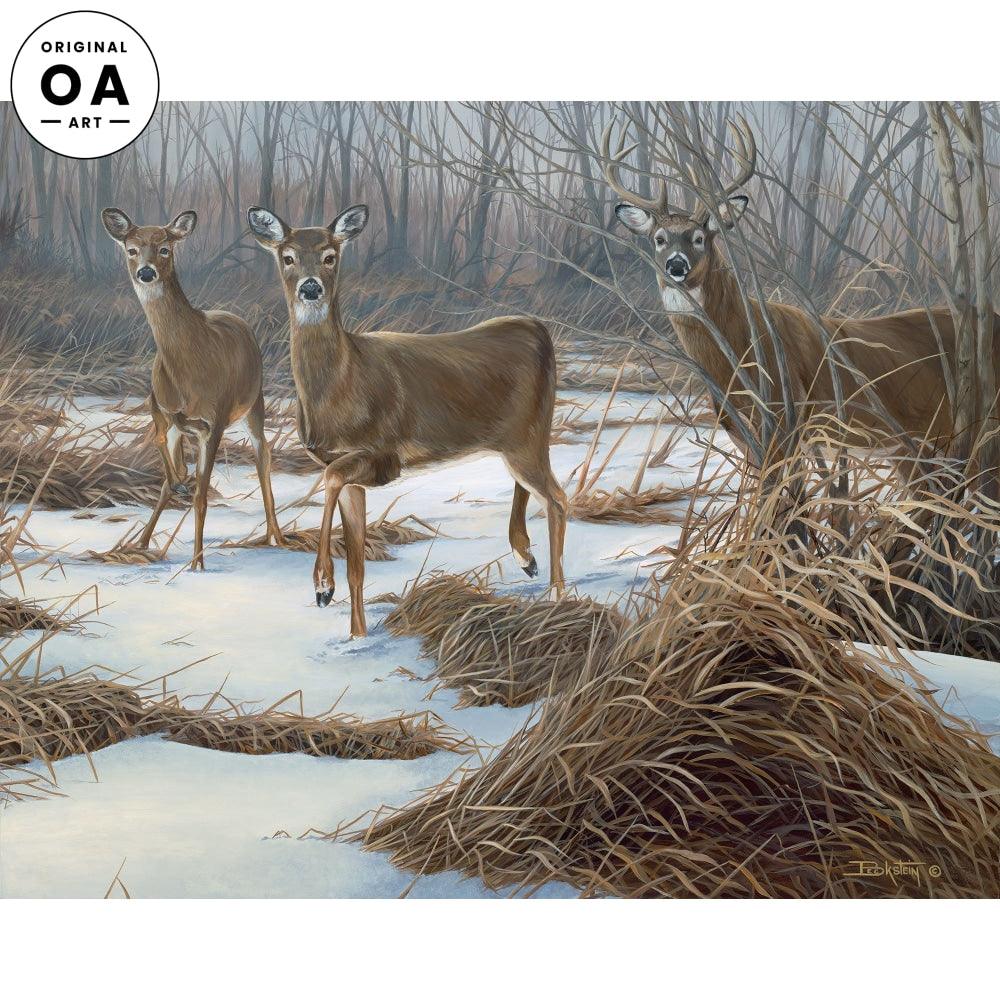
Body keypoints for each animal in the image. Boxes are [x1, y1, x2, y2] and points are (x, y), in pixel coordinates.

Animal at [101, 208, 284, 569]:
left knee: (263, 456)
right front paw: (142, 542)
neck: (187, 371)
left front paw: (198, 563)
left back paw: (277, 536)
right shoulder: (160, 411)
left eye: (165, 249)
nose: (146, 272)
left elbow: (202, 494)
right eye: (131, 249)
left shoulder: (214, 421)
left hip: (254, 402)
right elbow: (165, 472)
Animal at [246, 203, 566, 638]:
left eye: (330, 256)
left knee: (558, 499)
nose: (310, 288)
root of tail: (538, 329)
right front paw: (357, 634)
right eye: (288, 257)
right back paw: (526, 556)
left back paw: (557, 593)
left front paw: (322, 585)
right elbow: (357, 566)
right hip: (517, 440)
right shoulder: (347, 470)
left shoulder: (384, 455)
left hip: (527, 438)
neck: (343, 383)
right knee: (534, 488)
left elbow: (330, 479)